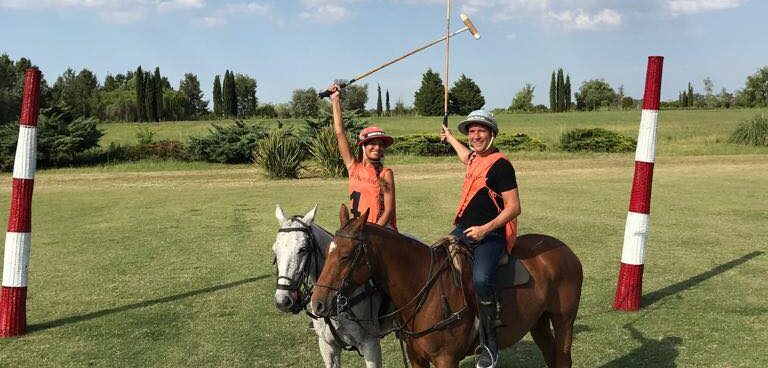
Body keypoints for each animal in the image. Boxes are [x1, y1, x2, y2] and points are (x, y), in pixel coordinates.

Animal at [312, 207, 584, 368]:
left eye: (346, 256)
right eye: (328, 251)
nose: (318, 303)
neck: (422, 287)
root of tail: (566, 250)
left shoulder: (446, 359)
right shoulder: (416, 358)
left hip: (564, 319)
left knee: (563, 358)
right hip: (539, 321)